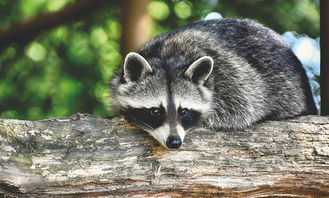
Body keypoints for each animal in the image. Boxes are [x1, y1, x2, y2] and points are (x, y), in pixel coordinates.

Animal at [109, 18, 316, 148]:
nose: (174, 142)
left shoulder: (234, 77)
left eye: (183, 111)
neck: (167, 56)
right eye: (155, 111)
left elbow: (244, 108)